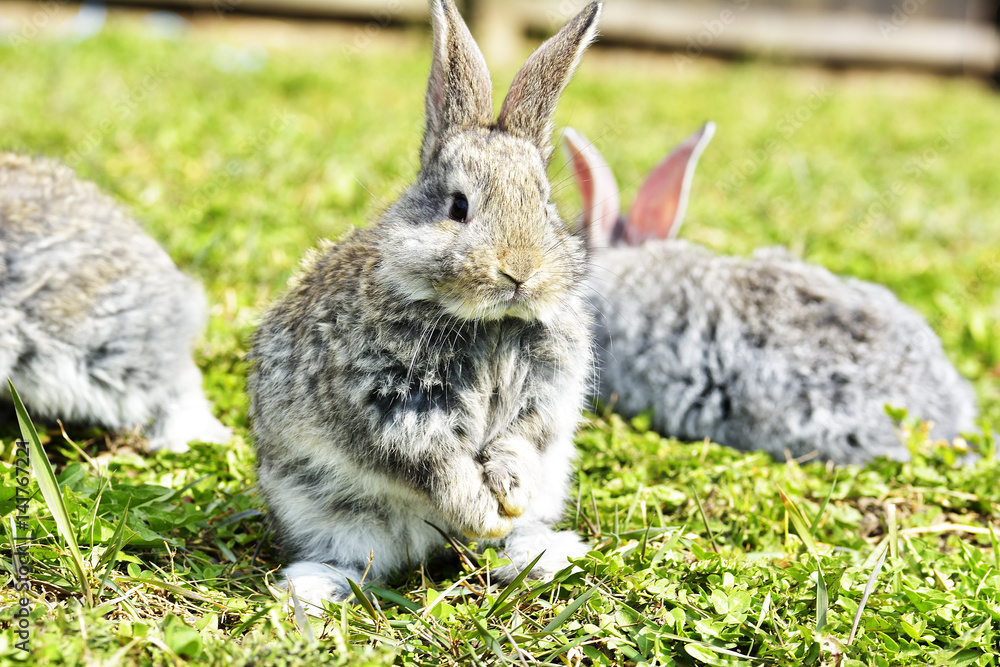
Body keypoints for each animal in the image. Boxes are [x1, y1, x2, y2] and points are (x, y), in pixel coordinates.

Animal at [247, 0, 603, 611]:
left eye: (545, 205)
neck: (491, 324)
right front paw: (484, 512)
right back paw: (315, 587)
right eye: (458, 206)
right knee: (356, 557)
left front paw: (508, 496)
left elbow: (521, 441)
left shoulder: (545, 399)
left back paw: (539, 552)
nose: (520, 270)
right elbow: (437, 469)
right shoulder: (393, 411)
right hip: (326, 509)